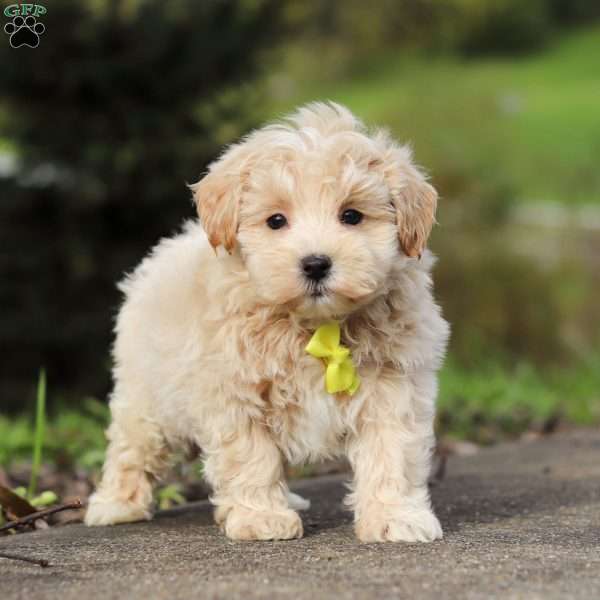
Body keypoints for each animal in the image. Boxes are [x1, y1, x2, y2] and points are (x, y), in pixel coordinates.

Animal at [85, 103, 450, 544]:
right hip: (146, 398)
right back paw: (116, 505)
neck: (317, 325)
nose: (315, 263)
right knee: (130, 449)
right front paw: (261, 517)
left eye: (352, 216)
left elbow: (391, 452)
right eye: (276, 221)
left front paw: (395, 516)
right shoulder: (234, 393)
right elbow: (251, 456)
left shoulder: (393, 386)